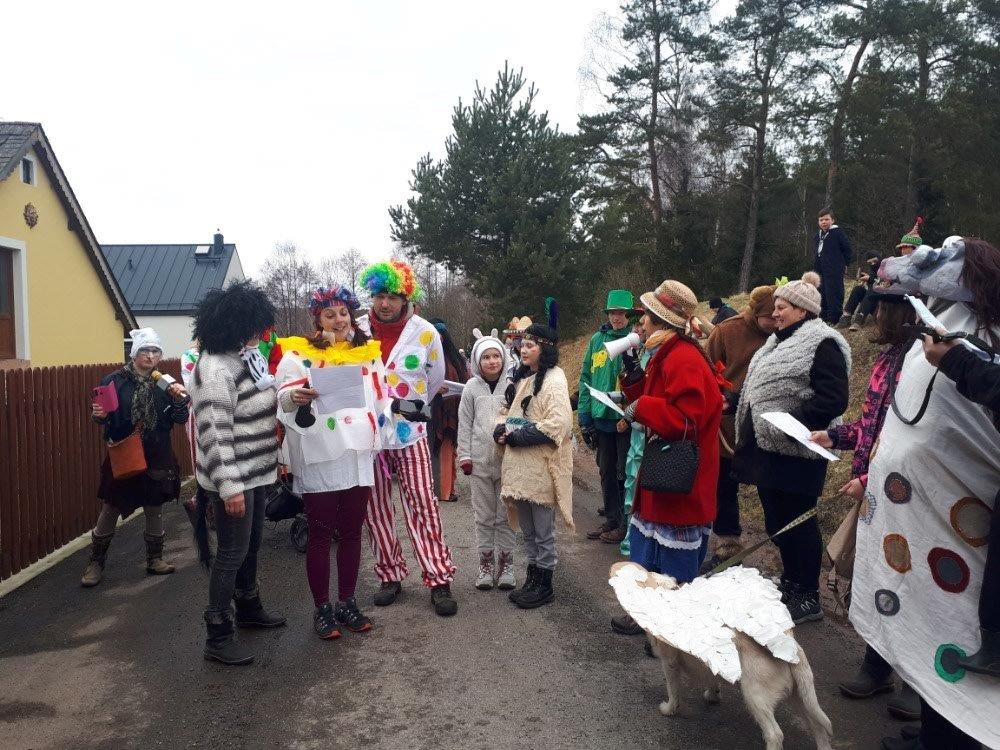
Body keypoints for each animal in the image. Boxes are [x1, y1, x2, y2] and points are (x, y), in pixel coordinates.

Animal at [610, 561, 833, 750]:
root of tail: (794, 652)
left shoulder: (670, 664)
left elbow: (673, 691)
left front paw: (669, 709)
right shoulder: (713, 662)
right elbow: (712, 677)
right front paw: (713, 695)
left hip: (755, 696)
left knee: (775, 734)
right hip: (800, 696)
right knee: (818, 727)